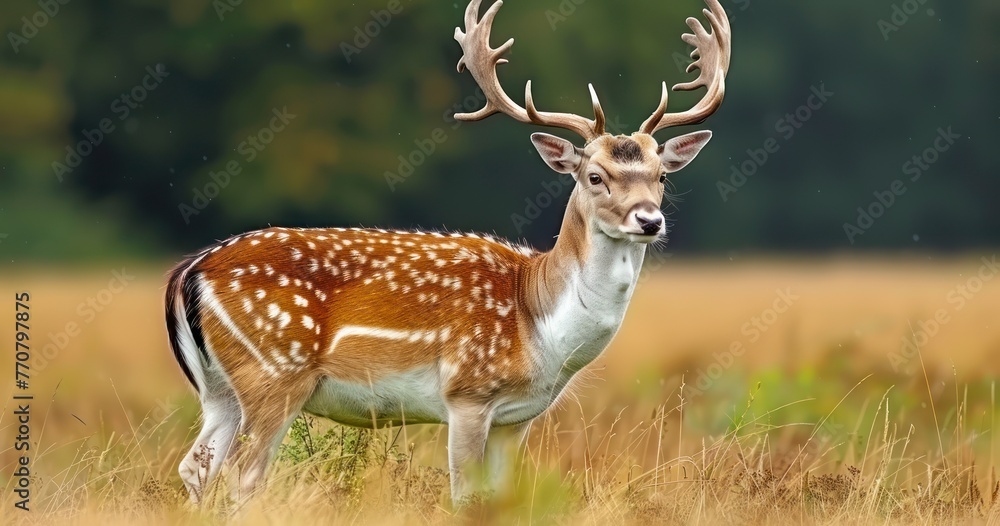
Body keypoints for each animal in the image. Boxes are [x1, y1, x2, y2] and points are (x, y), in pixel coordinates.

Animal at [165, 0, 730, 505]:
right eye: (595, 176)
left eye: (661, 178)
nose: (649, 221)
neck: (539, 328)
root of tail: (189, 270)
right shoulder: (467, 394)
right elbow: (463, 496)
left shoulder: (517, 419)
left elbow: (499, 499)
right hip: (275, 371)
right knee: (242, 475)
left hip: (219, 389)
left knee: (195, 466)